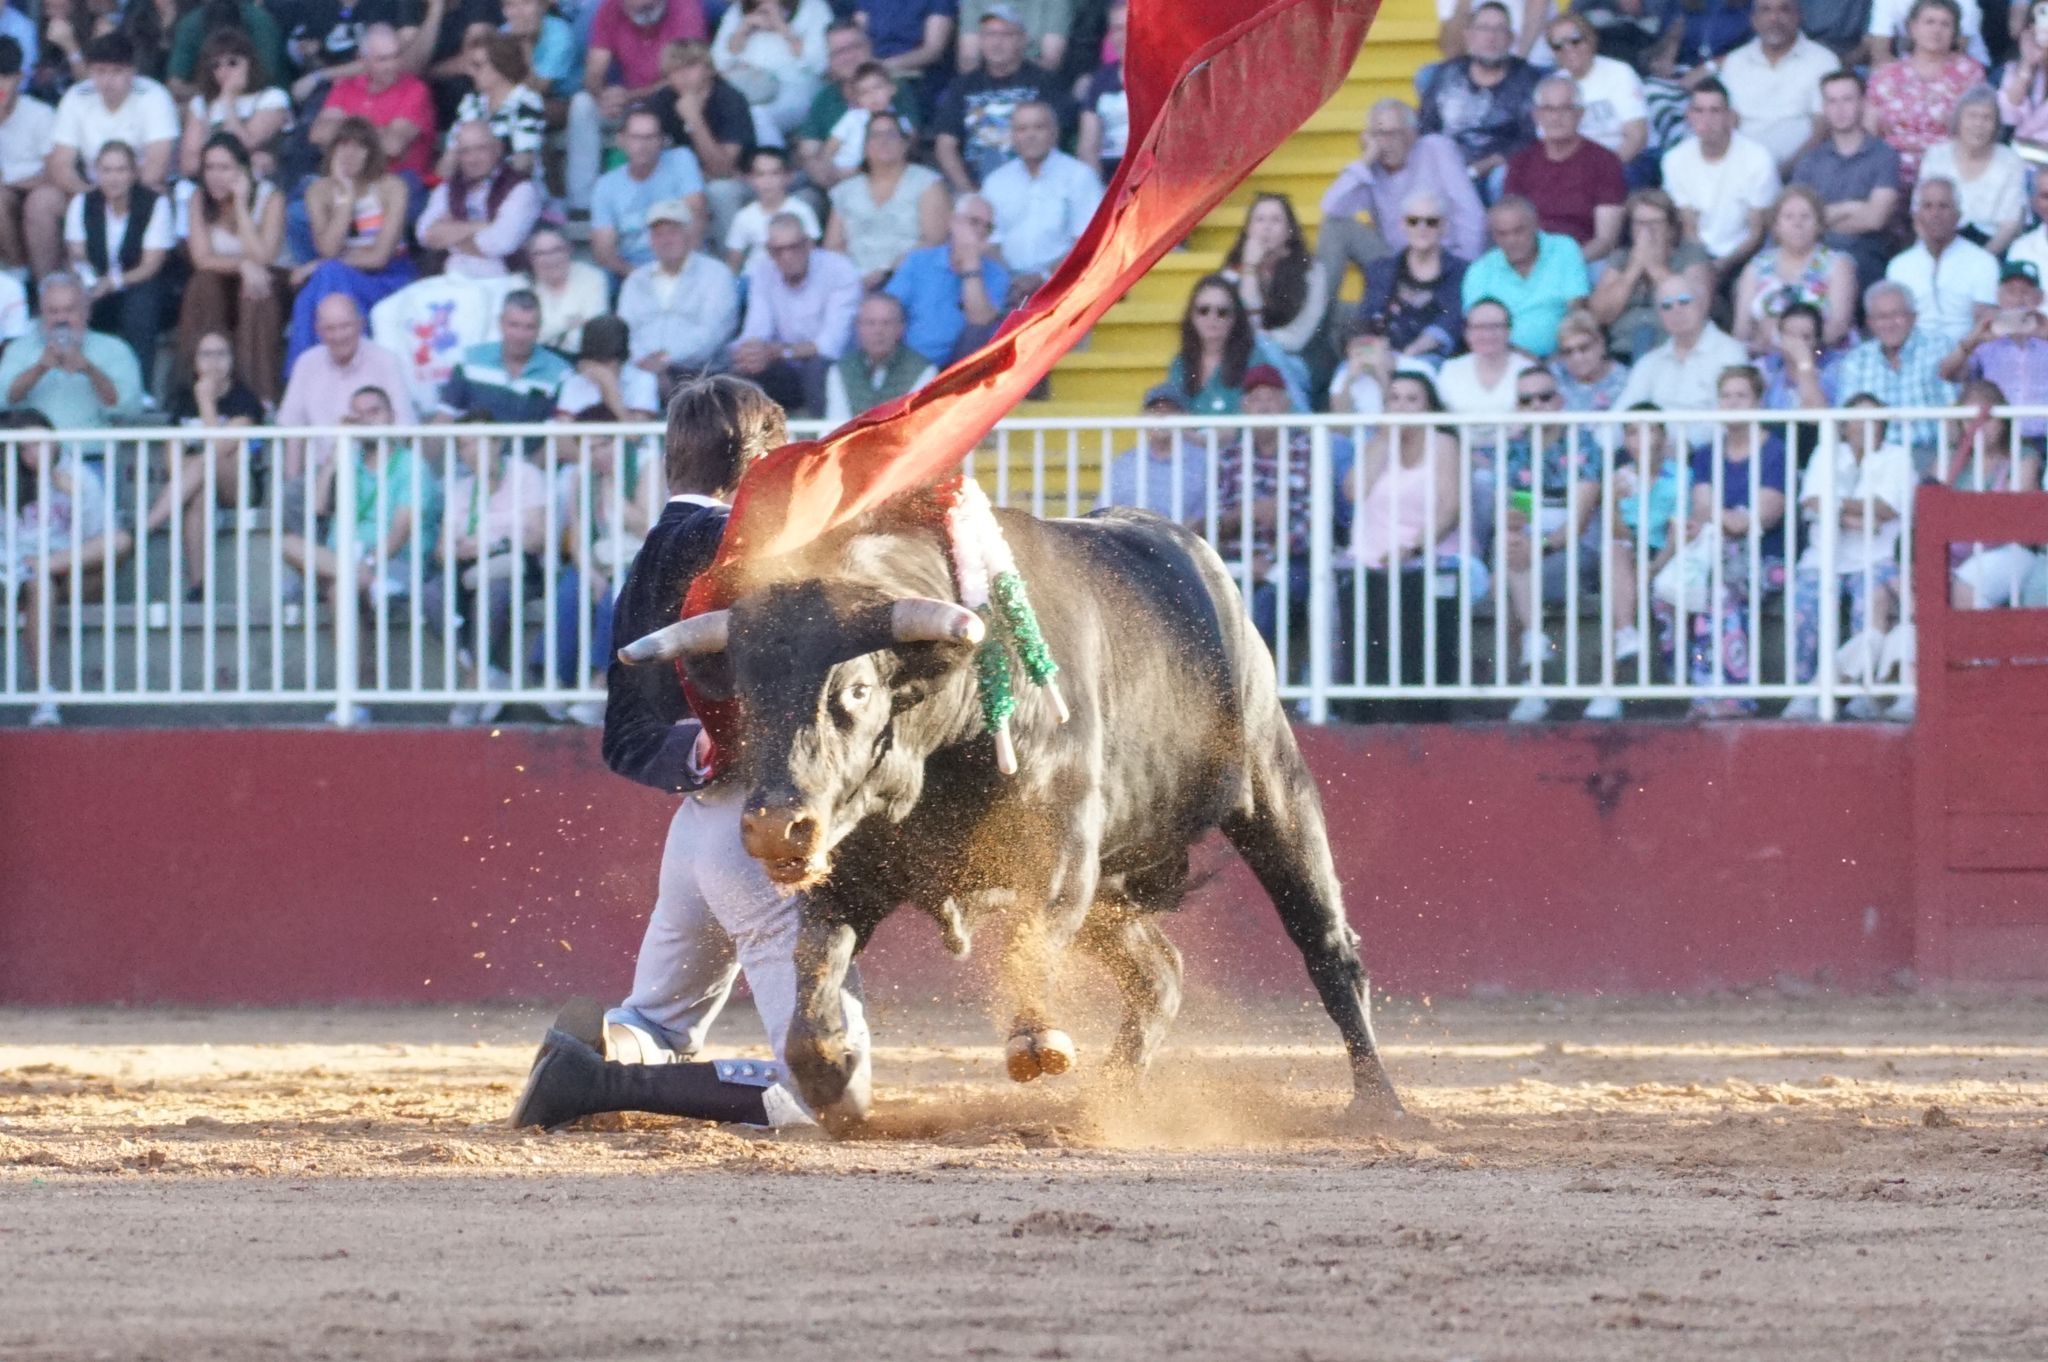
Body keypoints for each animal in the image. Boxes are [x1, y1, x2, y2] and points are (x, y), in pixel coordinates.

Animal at [618, 501, 1409, 1122]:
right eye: (744, 694)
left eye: (857, 690)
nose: (774, 827)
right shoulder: (851, 877)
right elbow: (815, 961)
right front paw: (827, 1074)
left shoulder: (1059, 854)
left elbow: (1030, 941)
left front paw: (1035, 1038)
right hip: (1117, 891)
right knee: (1160, 972)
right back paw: (1113, 1094)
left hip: (1274, 787)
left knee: (1328, 946)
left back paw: (1379, 1102)